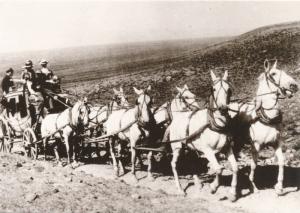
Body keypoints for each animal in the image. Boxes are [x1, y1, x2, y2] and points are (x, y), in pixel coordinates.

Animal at [169, 70, 237, 201]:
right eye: (213, 89)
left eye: (229, 89)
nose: (222, 108)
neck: (214, 124)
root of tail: (176, 117)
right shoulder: (208, 151)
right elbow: (218, 169)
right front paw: (213, 187)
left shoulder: (227, 148)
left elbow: (235, 167)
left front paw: (233, 193)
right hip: (177, 147)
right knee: (173, 164)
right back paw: (180, 189)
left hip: (188, 147)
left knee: (191, 161)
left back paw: (198, 183)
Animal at [230, 59, 298, 195]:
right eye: (273, 74)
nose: (294, 85)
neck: (266, 118)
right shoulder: (255, 146)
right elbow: (253, 165)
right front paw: (253, 187)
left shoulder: (277, 143)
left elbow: (281, 162)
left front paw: (279, 187)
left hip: (239, 142)